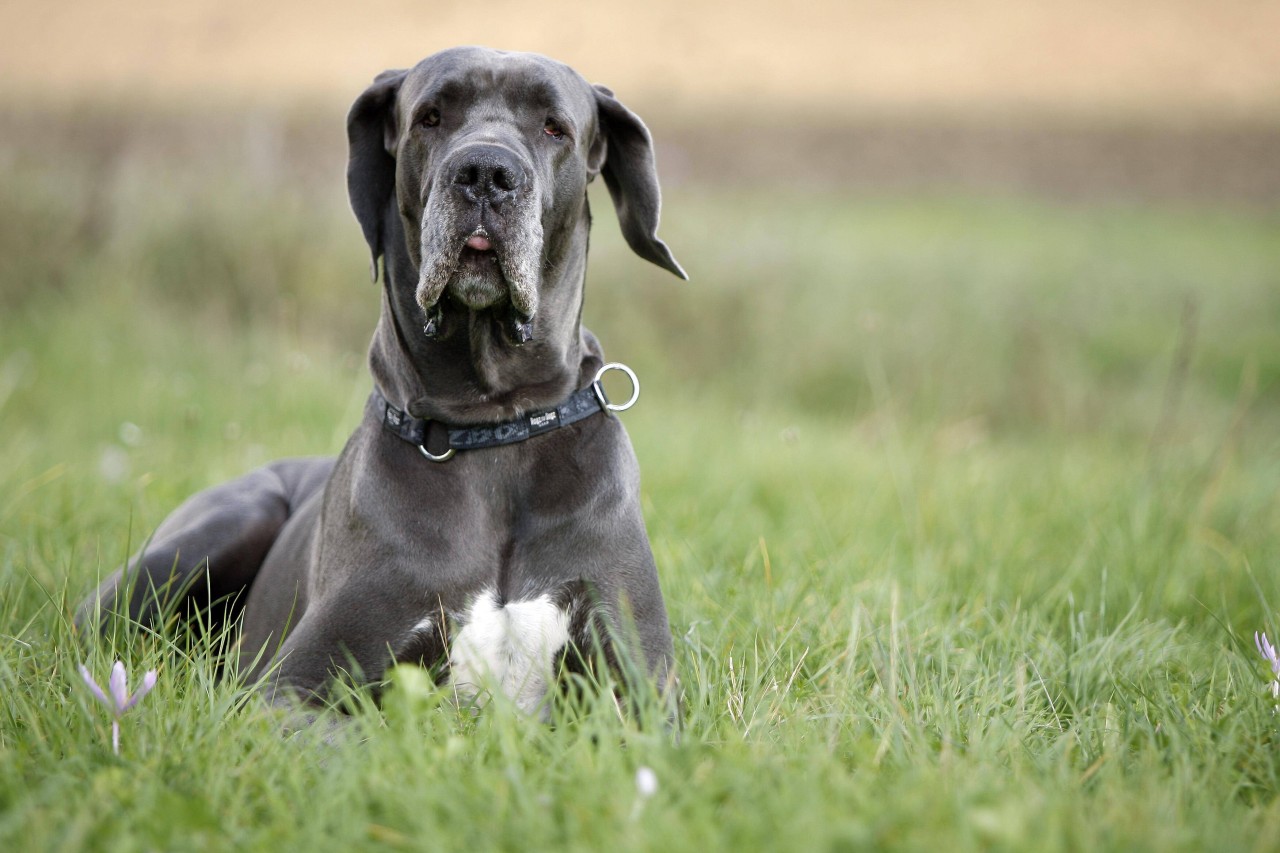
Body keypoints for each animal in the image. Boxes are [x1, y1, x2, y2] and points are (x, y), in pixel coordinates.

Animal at [76, 43, 686, 712]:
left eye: (555, 127)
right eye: (430, 117)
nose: (485, 173)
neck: (492, 425)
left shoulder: (640, 697)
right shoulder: (295, 689)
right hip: (214, 530)